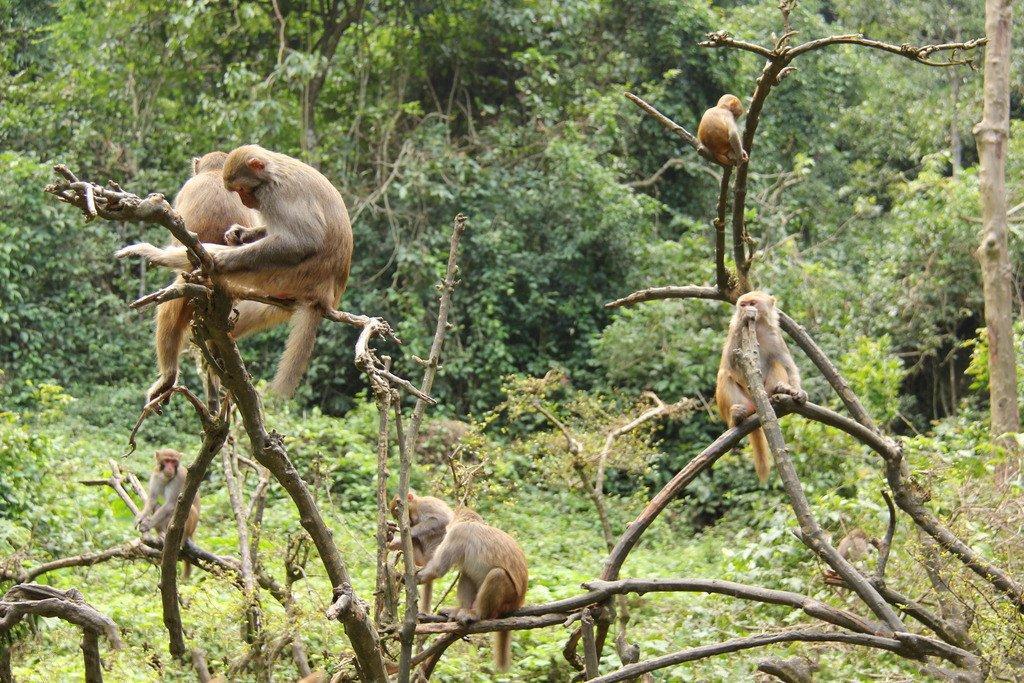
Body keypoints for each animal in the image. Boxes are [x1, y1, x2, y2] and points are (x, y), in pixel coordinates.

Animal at [136, 450, 199, 581]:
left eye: (173, 461)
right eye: (166, 460)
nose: (169, 468)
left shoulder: (179, 478)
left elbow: (171, 504)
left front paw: (146, 525)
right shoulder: (155, 474)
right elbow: (152, 499)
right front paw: (140, 517)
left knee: (188, 507)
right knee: (158, 505)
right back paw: (161, 534)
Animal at [415, 507, 528, 671]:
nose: (446, 529)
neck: (473, 522)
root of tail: (518, 603)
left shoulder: (457, 533)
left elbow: (437, 569)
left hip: (508, 598)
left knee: (497, 574)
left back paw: (477, 614)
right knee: (467, 574)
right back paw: (459, 610)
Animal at [716, 290, 802, 483]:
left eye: (753, 302)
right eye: (742, 304)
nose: (746, 309)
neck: (759, 329)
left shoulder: (775, 337)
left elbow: (788, 366)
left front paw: (797, 392)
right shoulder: (734, 331)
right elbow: (730, 363)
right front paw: (743, 319)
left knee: (776, 363)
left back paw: (779, 391)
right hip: (742, 399)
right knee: (724, 375)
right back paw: (736, 417)